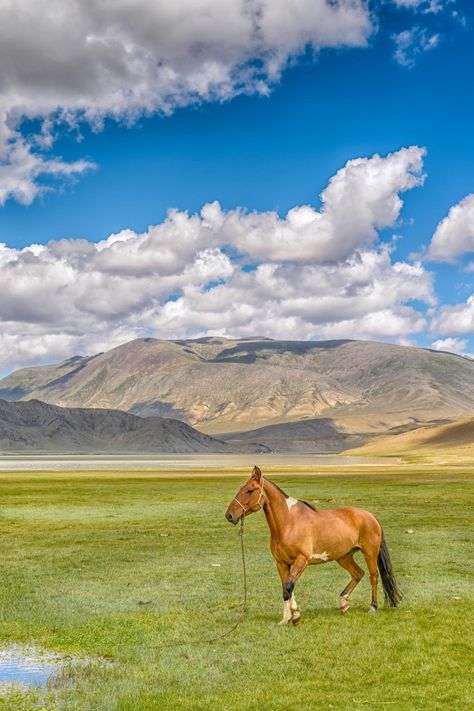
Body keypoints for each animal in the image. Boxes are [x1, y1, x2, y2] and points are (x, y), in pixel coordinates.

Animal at [226, 468, 400, 624]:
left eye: (249, 490)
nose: (229, 515)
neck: (288, 523)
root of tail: (371, 516)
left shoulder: (302, 560)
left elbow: (288, 586)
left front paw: (296, 616)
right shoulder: (281, 563)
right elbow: (286, 589)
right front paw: (286, 619)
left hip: (369, 553)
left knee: (373, 576)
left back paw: (373, 607)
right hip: (344, 556)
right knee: (358, 573)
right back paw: (343, 604)